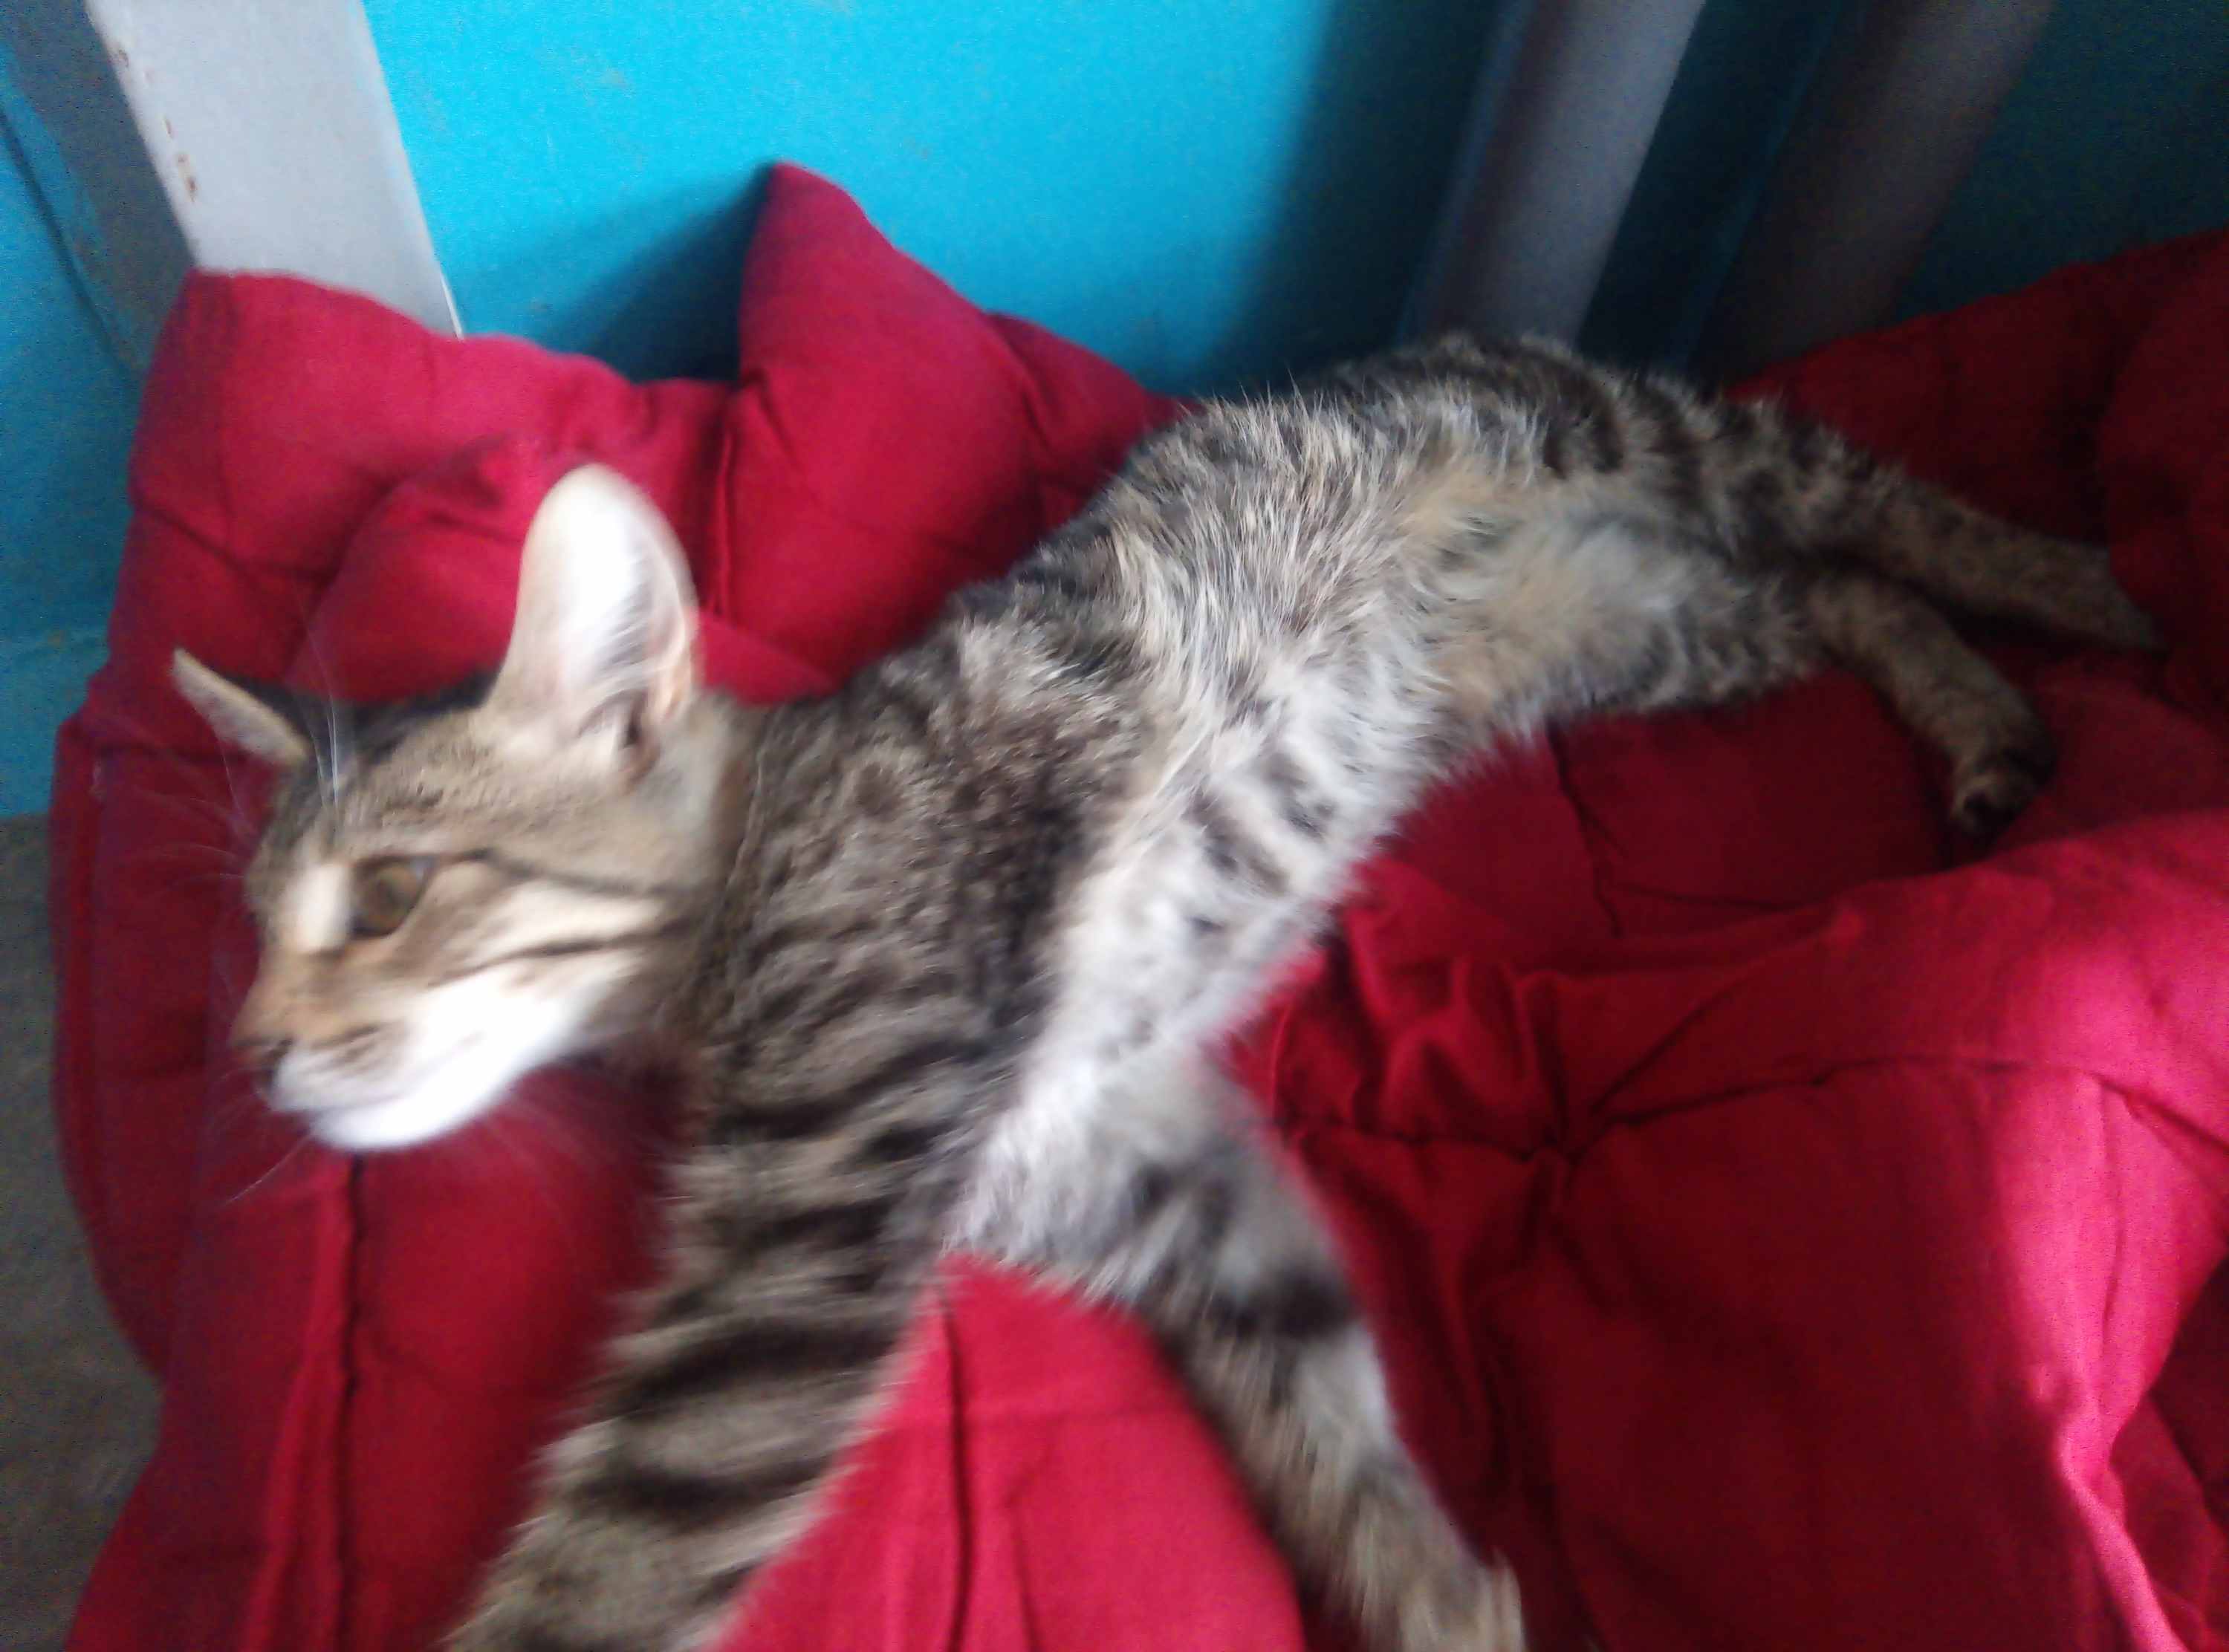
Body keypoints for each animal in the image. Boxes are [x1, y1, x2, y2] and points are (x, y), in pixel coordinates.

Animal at [174, 332, 2159, 1652]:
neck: (759, 860)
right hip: (1630, 623)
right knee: (1820, 592)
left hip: (1644, 443)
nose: (253, 1046)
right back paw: (1981, 714)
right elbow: (1317, 1384)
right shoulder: (1149, 1167)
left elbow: (619, 1550)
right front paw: (1431, 1587)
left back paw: (2083, 586)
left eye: (392, 895)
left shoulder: (811, 1234)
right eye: (255, 926)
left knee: (1872, 504)